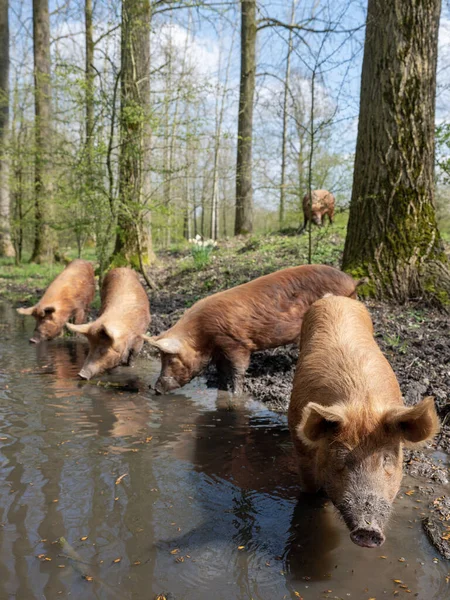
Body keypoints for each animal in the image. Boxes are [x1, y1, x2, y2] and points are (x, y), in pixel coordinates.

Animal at [142, 264, 360, 396]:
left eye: (171, 360)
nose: (156, 388)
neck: (202, 334)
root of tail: (351, 280)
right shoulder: (219, 349)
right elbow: (221, 370)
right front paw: (221, 388)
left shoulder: (236, 343)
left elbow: (238, 369)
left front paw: (236, 394)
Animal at [288, 296, 440, 548]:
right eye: (342, 459)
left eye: (386, 459)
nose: (368, 530)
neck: (362, 403)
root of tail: (333, 297)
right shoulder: (300, 448)